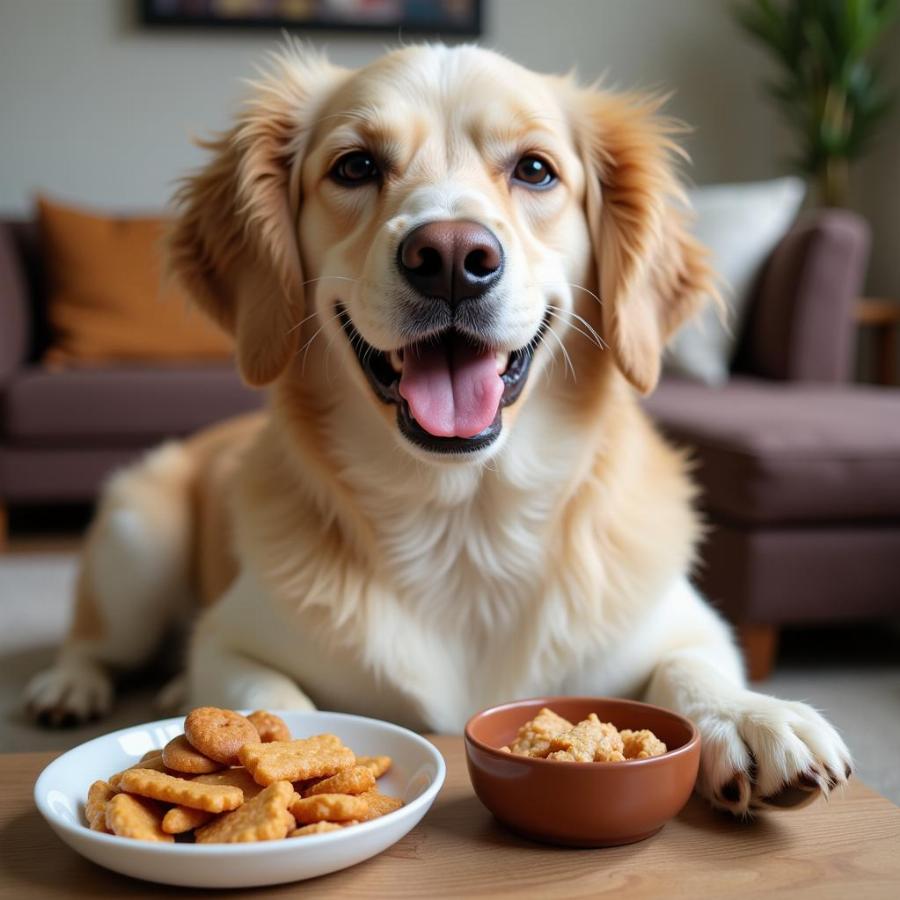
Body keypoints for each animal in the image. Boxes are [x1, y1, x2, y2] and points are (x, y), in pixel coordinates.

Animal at [22, 44, 852, 816]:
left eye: (536, 170)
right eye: (355, 165)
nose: (452, 256)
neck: (464, 521)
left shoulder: (689, 622)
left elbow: (692, 665)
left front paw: (751, 718)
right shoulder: (230, 638)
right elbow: (275, 698)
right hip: (137, 538)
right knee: (97, 639)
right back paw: (73, 686)